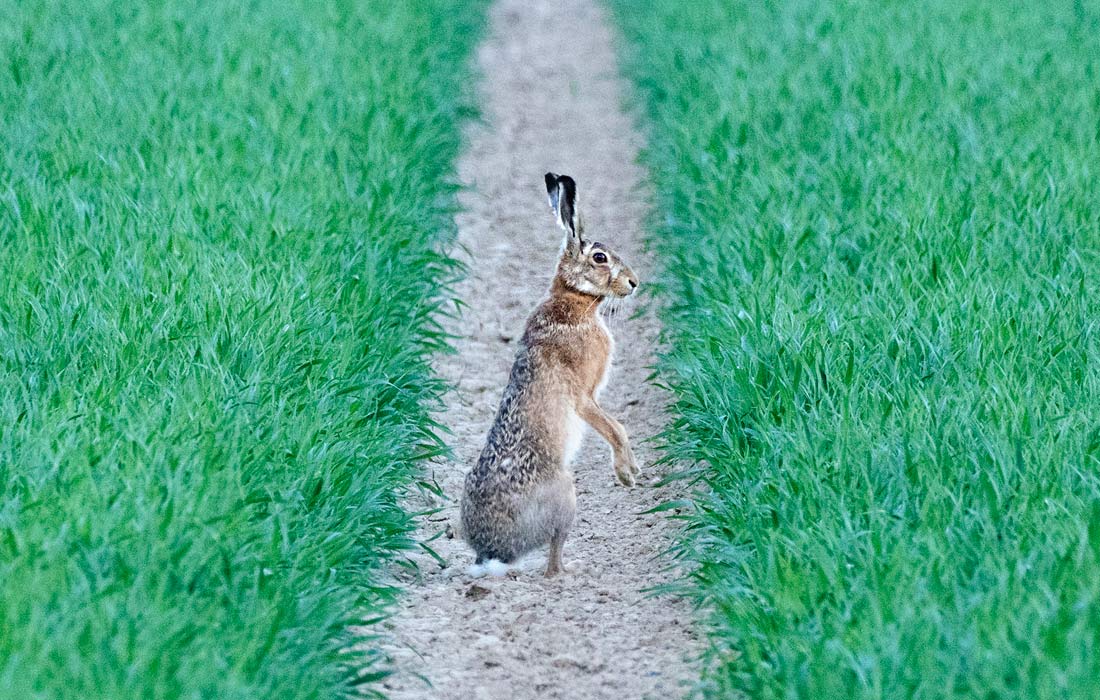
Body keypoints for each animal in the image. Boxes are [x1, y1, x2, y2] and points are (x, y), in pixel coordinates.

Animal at [460, 172, 641, 578]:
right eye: (600, 258)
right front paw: (626, 473)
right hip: (565, 494)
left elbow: (618, 425)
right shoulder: (583, 397)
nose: (634, 283)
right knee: (553, 558)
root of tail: (493, 551)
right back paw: (573, 571)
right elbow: (615, 428)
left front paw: (632, 468)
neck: (575, 301)